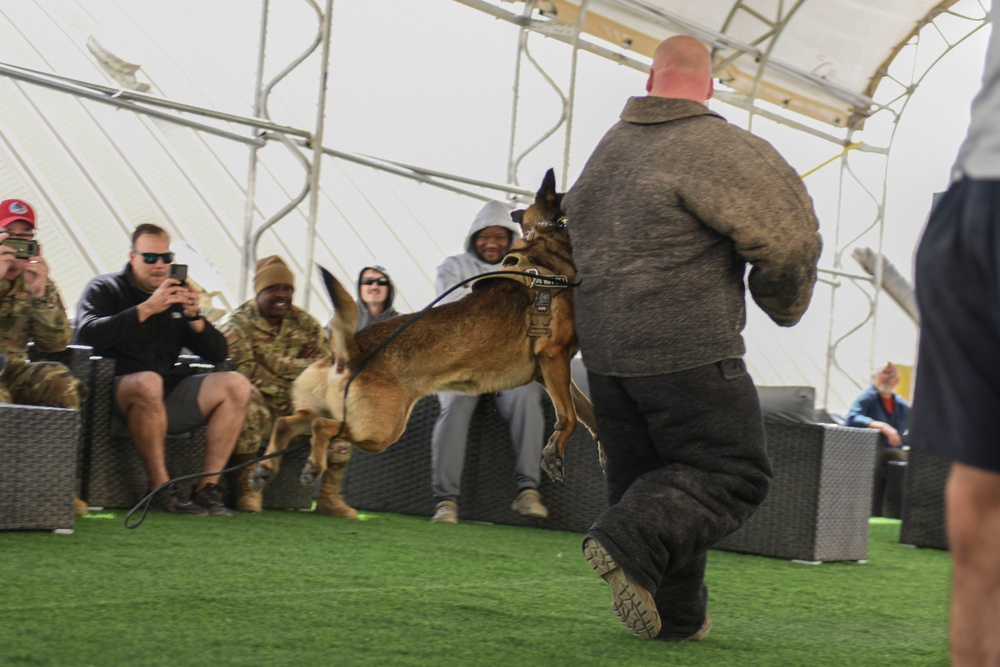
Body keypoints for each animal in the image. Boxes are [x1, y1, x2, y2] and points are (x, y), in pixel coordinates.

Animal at [252, 168, 592, 490]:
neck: (544, 248)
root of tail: (348, 350)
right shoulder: (553, 357)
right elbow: (569, 416)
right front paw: (554, 454)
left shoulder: (547, 371)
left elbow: (587, 413)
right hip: (379, 430)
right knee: (322, 427)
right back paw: (311, 466)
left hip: (332, 414)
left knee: (288, 423)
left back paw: (266, 468)